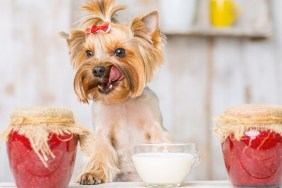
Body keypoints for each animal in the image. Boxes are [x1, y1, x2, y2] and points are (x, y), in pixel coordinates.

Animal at [59, 0, 172, 185]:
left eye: (120, 52)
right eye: (88, 53)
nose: (97, 70)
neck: (122, 99)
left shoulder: (155, 127)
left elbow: (161, 147)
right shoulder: (102, 131)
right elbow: (101, 151)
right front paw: (92, 174)